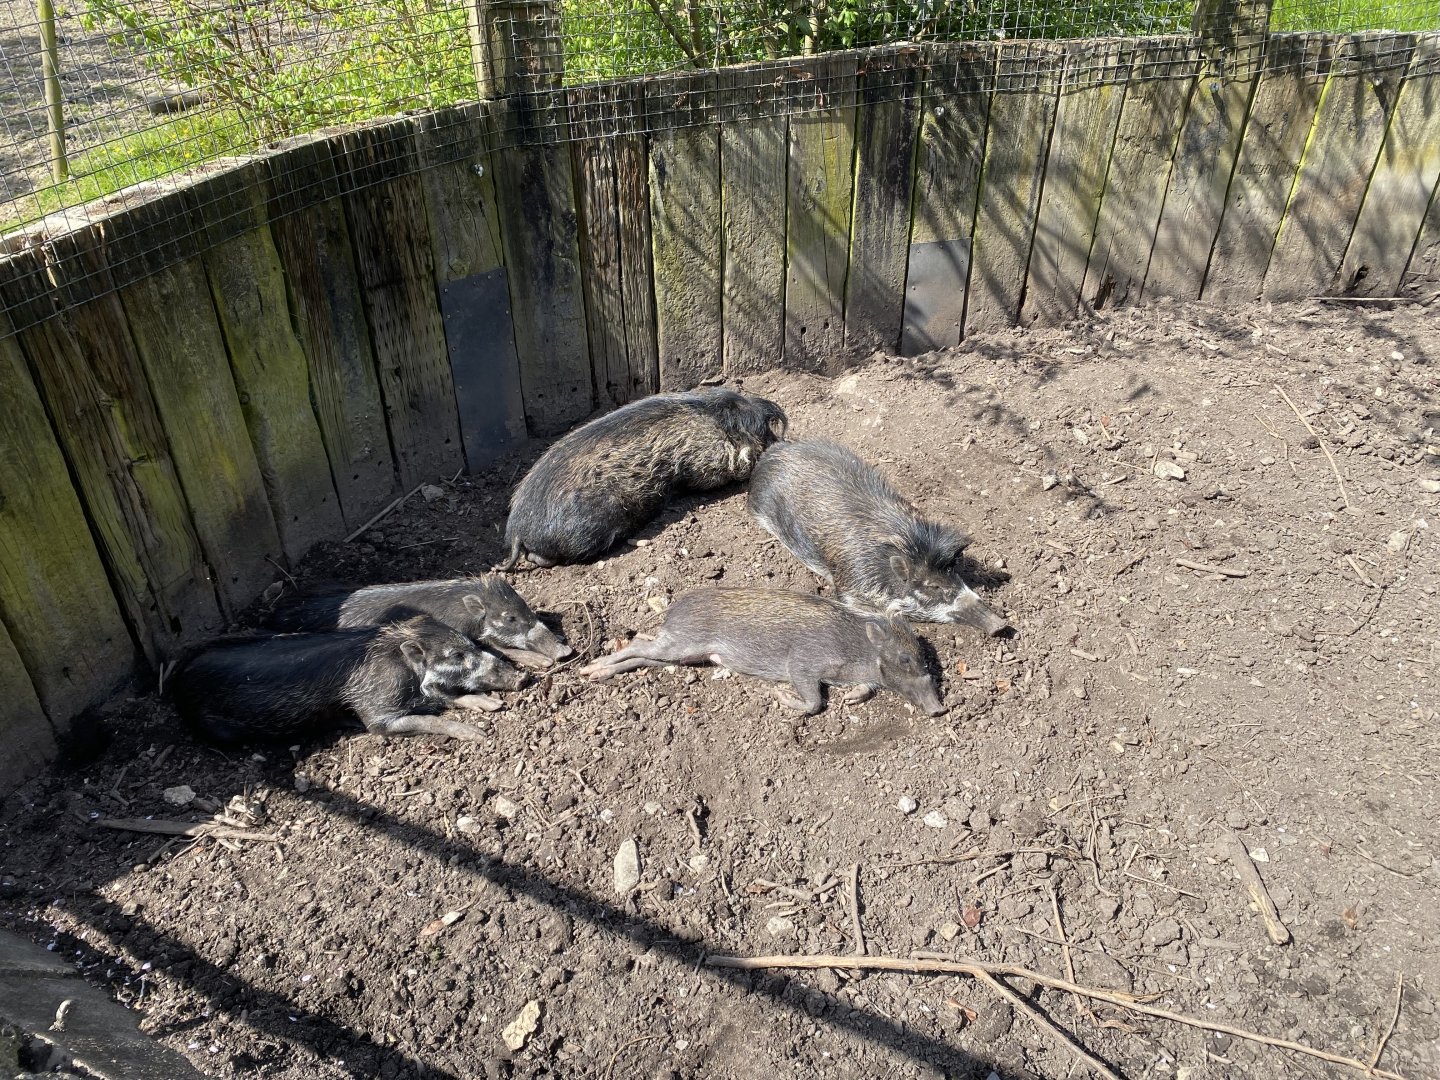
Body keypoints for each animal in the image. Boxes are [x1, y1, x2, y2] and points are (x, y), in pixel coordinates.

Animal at [169, 616, 526, 745]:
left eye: (469, 644)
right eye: (455, 655)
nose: (520, 679)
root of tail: (175, 683)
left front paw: (492, 706)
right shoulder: (377, 713)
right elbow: (430, 718)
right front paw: (479, 735)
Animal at [579, 587, 944, 716]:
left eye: (923, 658)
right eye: (905, 659)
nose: (939, 710)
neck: (858, 651)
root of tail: (672, 610)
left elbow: (863, 688)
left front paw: (852, 698)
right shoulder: (802, 663)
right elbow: (814, 703)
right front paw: (780, 699)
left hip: (687, 655)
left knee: (643, 655)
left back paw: (597, 674)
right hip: (680, 642)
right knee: (638, 645)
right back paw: (589, 670)